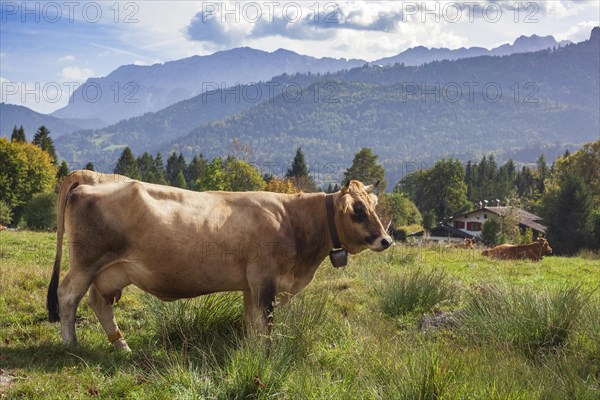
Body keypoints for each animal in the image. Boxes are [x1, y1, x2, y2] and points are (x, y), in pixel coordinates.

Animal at [47, 170, 394, 352]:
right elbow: (266, 322)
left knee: (98, 302)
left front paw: (252, 352)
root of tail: (92, 176)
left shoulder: (251, 285)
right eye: (357, 210)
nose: (386, 240)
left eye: (373, 205)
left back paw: (122, 347)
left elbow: (251, 322)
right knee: (68, 295)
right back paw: (70, 344)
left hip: (112, 271)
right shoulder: (265, 279)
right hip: (85, 262)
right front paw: (267, 354)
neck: (294, 220)